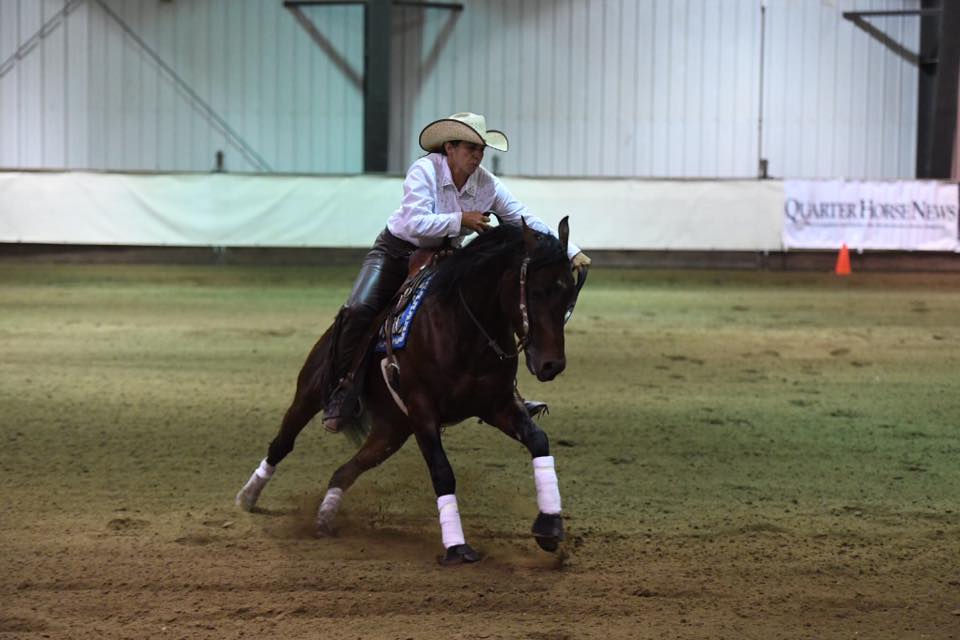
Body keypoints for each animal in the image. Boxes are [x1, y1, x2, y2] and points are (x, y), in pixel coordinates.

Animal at [235, 218, 584, 564]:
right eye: (536, 292)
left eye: (569, 297)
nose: (552, 365)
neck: (461, 326)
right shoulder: (422, 409)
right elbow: (442, 473)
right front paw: (456, 546)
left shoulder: (496, 405)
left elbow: (538, 440)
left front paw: (549, 526)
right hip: (311, 392)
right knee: (283, 443)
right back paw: (248, 496)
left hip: (391, 431)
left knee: (345, 471)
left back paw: (324, 517)